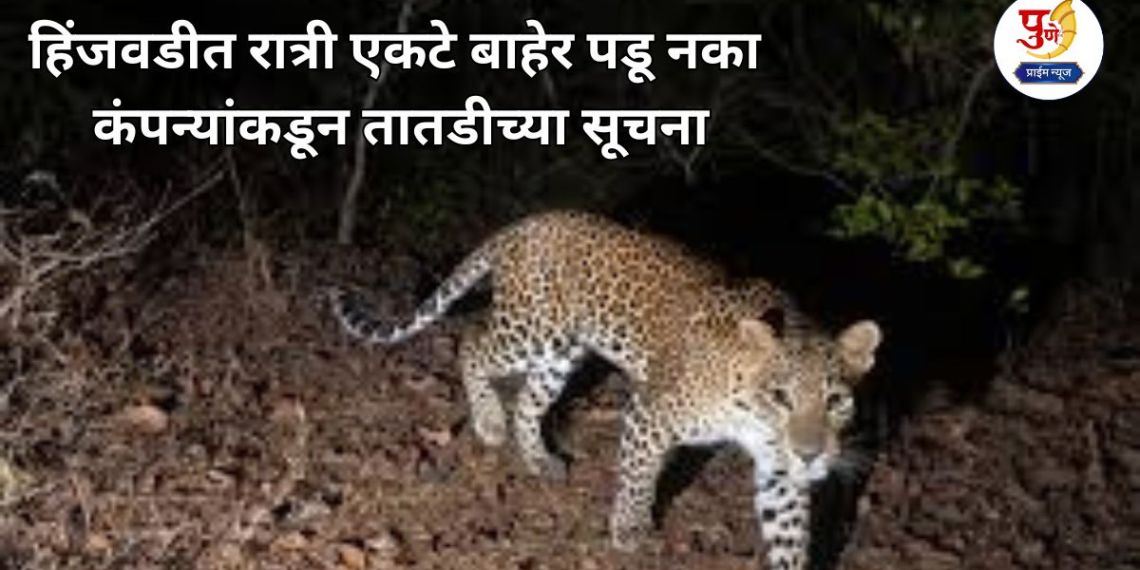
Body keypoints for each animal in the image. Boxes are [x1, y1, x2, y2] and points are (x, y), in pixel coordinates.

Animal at [329, 210, 882, 570]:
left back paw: (540, 460)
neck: (749, 411)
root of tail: (525, 224)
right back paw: (487, 422)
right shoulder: (650, 414)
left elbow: (790, 534)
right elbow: (638, 479)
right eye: (780, 396)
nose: (811, 454)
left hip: (560, 355)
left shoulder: (779, 470)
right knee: (472, 344)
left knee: (528, 402)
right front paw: (630, 531)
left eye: (836, 400)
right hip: (530, 331)